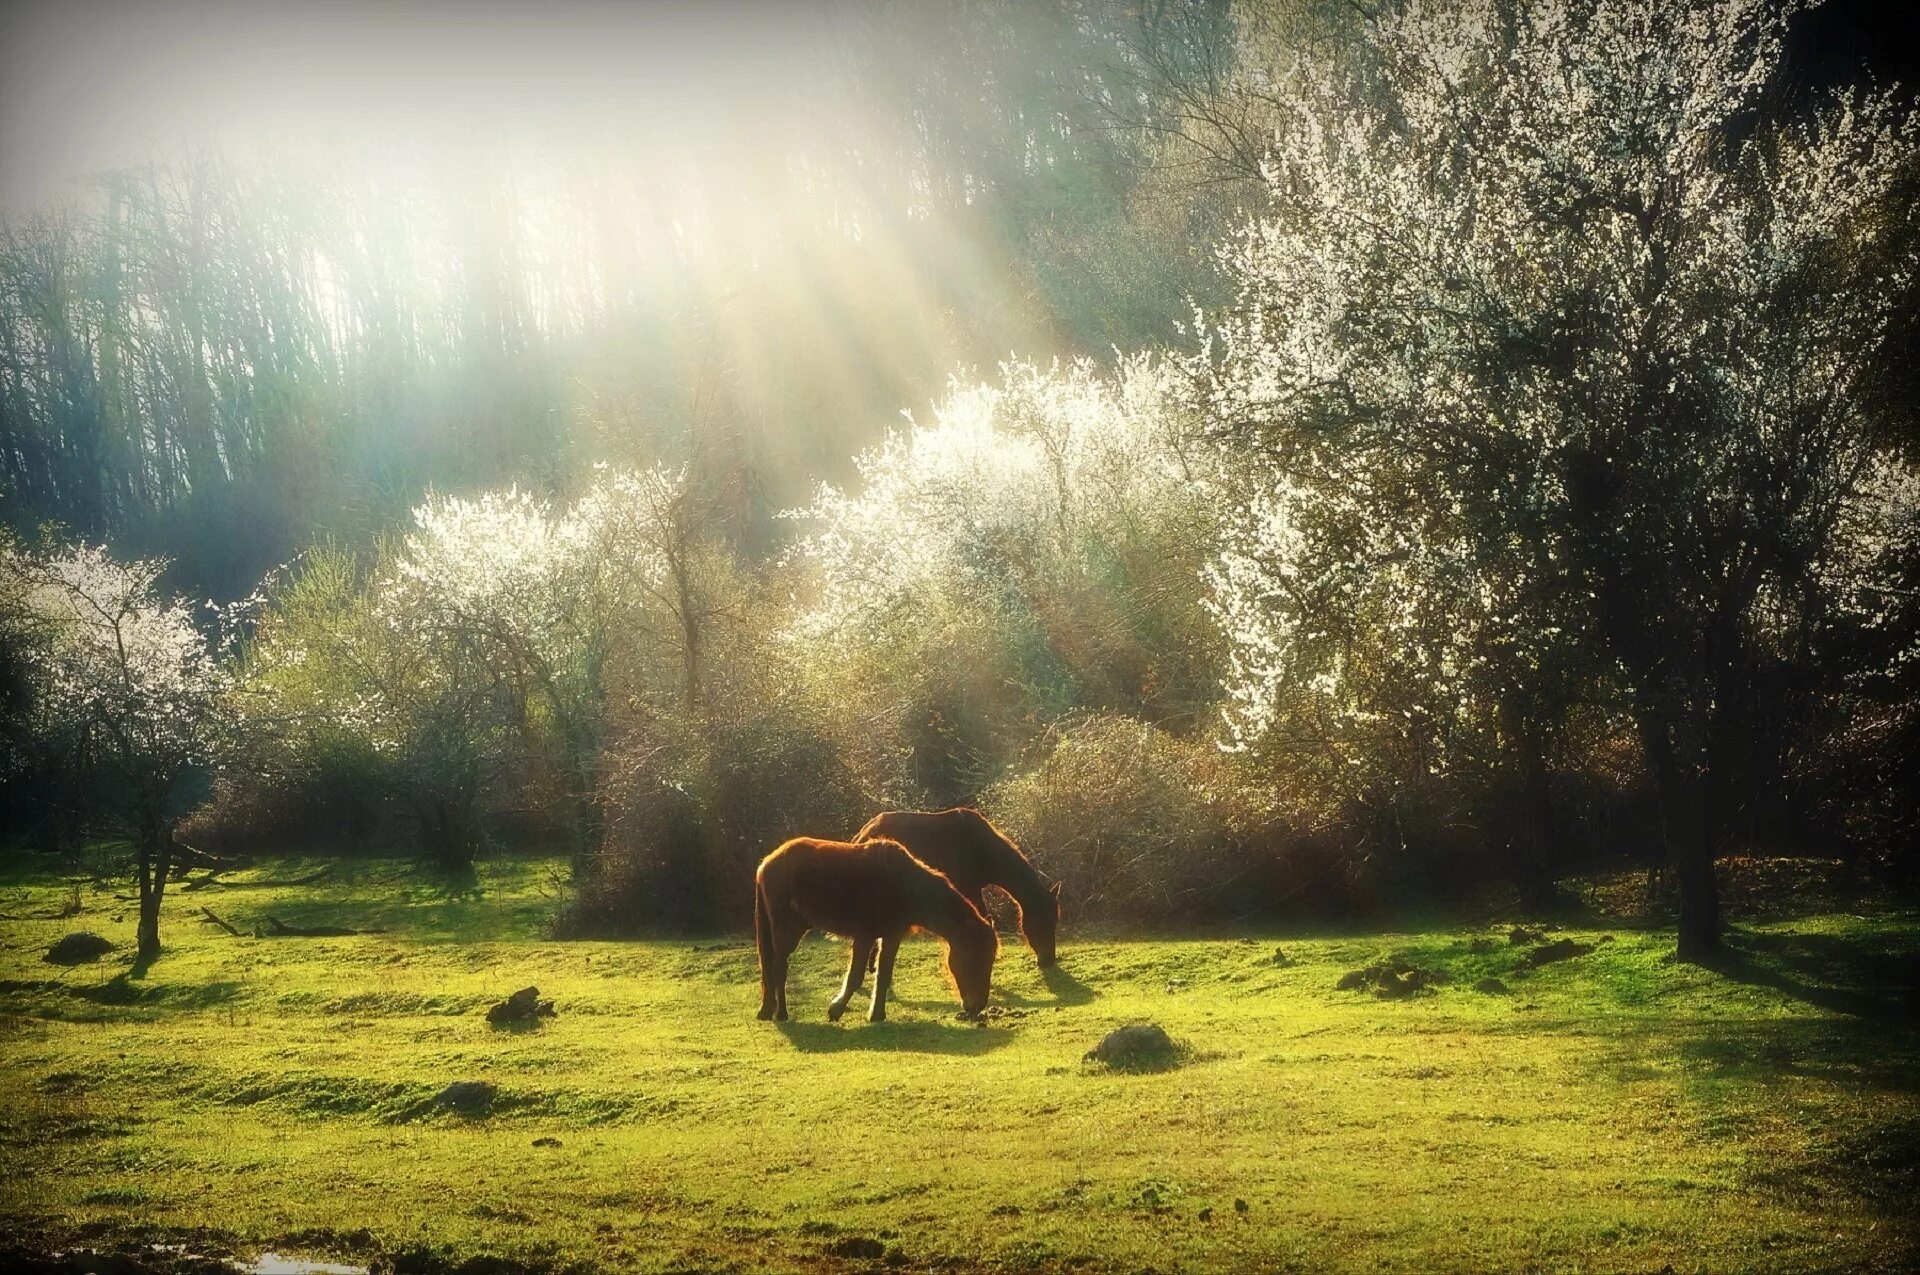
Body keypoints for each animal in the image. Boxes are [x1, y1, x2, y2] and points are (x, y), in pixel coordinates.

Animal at [748, 837, 998, 1029]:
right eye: (976, 958)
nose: (977, 1006)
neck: (904, 885)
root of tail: (766, 863)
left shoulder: (891, 936)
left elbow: (883, 975)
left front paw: (877, 1015)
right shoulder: (864, 936)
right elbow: (855, 977)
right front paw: (836, 1009)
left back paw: (768, 1010)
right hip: (786, 931)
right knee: (778, 968)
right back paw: (781, 1014)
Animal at [860, 806, 1067, 967]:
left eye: (1055, 920)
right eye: (1042, 921)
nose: (1048, 960)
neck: (980, 849)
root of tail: (863, 834)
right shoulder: (969, 890)